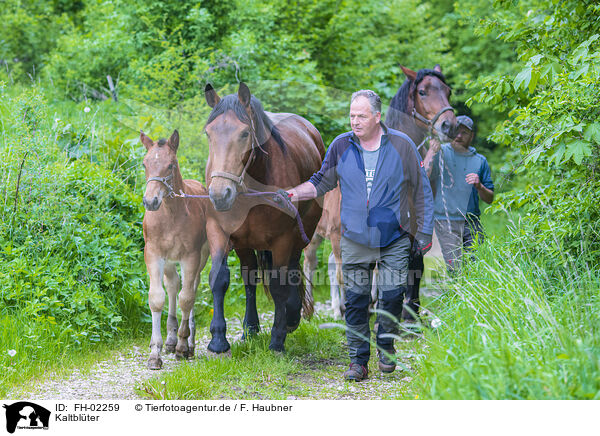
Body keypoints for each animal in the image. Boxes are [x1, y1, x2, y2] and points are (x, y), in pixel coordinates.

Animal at [142, 130, 210, 372]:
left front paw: (182, 346)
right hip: (169, 262)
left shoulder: (191, 257)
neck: (171, 214)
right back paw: (170, 340)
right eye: (145, 164)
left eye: (171, 165)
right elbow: (157, 298)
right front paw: (155, 353)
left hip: (201, 257)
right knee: (172, 285)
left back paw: (187, 343)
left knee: (192, 287)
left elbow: (187, 298)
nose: (150, 201)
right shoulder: (153, 255)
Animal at [202, 82, 324, 354]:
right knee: (250, 278)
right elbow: (219, 278)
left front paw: (277, 339)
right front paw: (218, 339)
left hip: (303, 233)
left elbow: (279, 285)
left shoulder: (283, 239)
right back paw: (250, 328)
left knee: (291, 270)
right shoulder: (219, 231)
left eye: (245, 133)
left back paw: (291, 318)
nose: (220, 194)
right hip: (246, 244)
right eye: (208, 134)